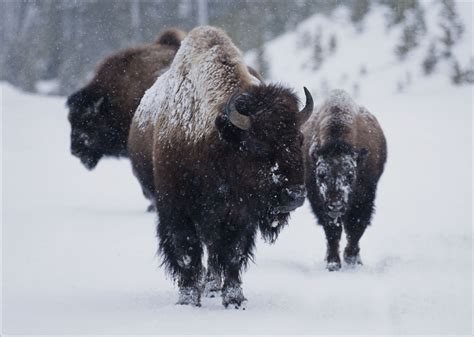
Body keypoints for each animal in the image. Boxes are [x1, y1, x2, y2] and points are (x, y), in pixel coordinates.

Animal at [128, 26, 312, 308]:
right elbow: (186, 252)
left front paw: (234, 299)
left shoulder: (238, 216)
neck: (217, 141)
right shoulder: (177, 209)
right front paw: (188, 298)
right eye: (257, 145)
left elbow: (233, 254)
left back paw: (214, 285)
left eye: (299, 140)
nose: (295, 195)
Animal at [302, 89, 386, 270]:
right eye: (321, 174)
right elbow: (332, 231)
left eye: (350, 175)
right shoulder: (319, 203)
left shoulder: (365, 199)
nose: (336, 205)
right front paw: (333, 263)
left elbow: (355, 228)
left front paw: (351, 258)